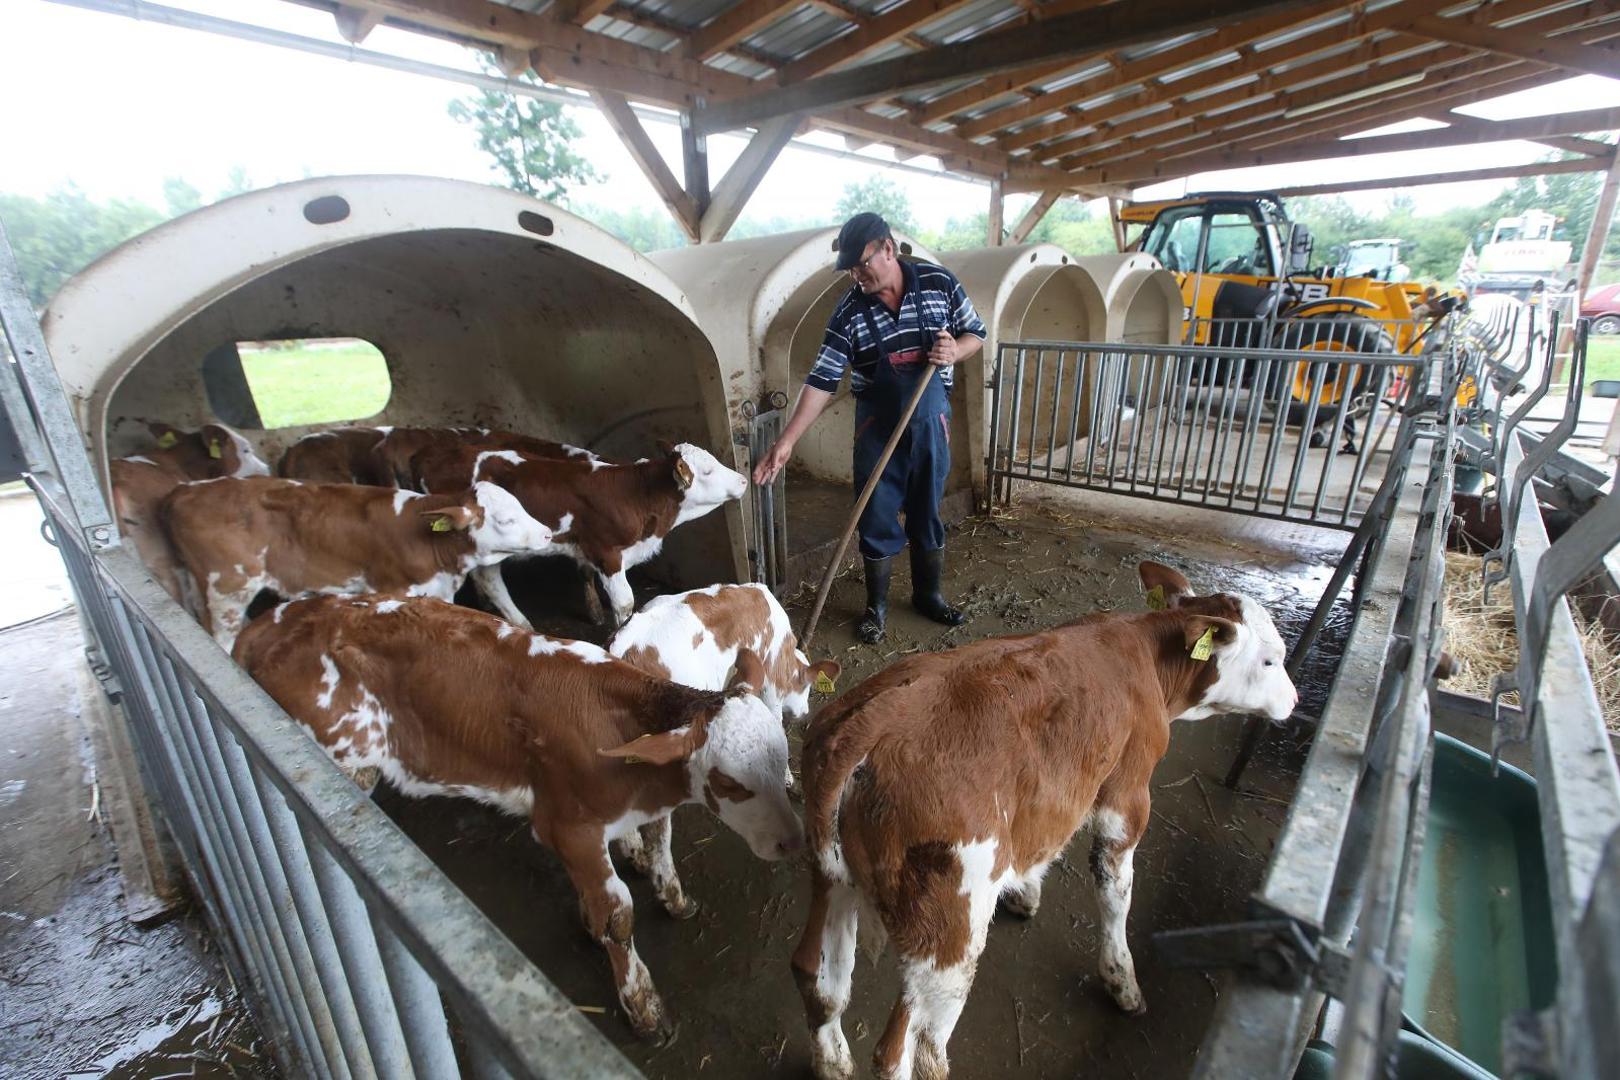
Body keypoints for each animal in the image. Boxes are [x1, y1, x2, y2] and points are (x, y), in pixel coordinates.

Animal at [230, 595, 803, 1042]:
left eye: (782, 758)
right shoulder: (570, 827)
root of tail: (268, 624)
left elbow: (657, 845)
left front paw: (670, 898)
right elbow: (617, 916)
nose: (792, 842)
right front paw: (643, 1008)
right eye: (730, 782)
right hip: (343, 763)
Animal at [414, 440, 748, 625]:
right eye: (707, 472)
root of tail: (432, 457)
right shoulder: (607, 553)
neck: (636, 494)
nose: (744, 480)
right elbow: (625, 603)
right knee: (490, 578)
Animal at [790, 566, 1296, 1080]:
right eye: (1272, 660)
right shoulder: (1127, 793)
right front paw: (1122, 979)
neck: (1147, 652)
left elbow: (1041, 845)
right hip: (951, 926)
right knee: (909, 1046)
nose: (1294, 700)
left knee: (817, 977)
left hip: (832, 877)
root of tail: (869, 723)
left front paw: (1024, 892)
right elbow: (1116, 891)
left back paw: (833, 1061)